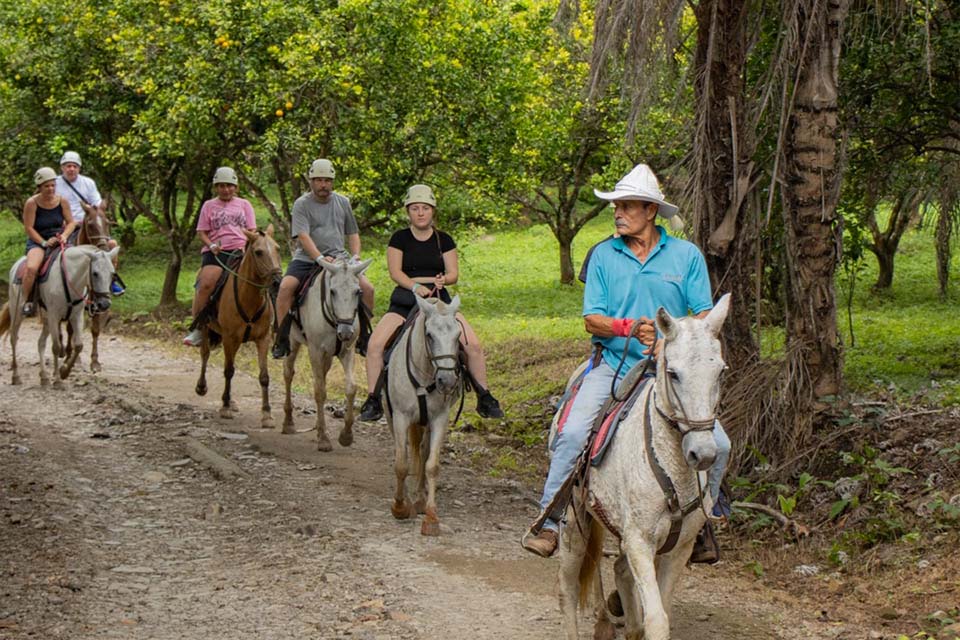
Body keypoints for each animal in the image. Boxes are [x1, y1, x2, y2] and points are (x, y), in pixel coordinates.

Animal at [2, 244, 119, 384]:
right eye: (95, 273)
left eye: (112, 274)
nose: (105, 304)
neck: (70, 279)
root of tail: (17, 264)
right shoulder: (54, 316)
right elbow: (56, 347)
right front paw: (58, 380)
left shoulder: (77, 316)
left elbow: (79, 345)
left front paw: (64, 372)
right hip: (18, 312)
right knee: (14, 338)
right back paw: (16, 376)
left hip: (46, 319)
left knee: (41, 342)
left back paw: (44, 377)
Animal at [194, 226, 282, 430]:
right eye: (258, 252)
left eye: (277, 248)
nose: (277, 281)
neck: (249, 298)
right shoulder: (229, 338)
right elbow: (228, 370)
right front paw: (225, 407)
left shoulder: (263, 338)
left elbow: (264, 376)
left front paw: (267, 414)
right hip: (206, 327)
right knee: (205, 354)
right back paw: (202, 387)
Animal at [282, 258, 372, 450]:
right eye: (332, 291)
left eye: (358, 291)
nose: (345, 332)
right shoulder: (315, 350)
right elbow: (319, 391)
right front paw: (323, 438)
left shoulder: (347, 351)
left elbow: (351, 388)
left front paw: (346, 435)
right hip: (292, 343)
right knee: (288, 373)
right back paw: (288, 423)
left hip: (328, 355)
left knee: (322, 375)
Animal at [384, 296, 464, 536]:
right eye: (429, 335)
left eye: (458, 336)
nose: (447, 381)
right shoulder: (400, 417)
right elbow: (401, 464)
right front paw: (400, 506)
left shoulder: (439, 419)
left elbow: (431, 465)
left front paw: (431, 517)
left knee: (423, 450)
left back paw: (419, 499)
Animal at [556, 296, 728, 640]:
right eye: (673, 373)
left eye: (719, 372)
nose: (702, 454)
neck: (671, 469)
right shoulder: (638, 542)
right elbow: (657, 620)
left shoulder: (678, 549)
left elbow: (661, 610)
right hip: (574, 520)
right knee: (569, 584)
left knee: (615, 570)